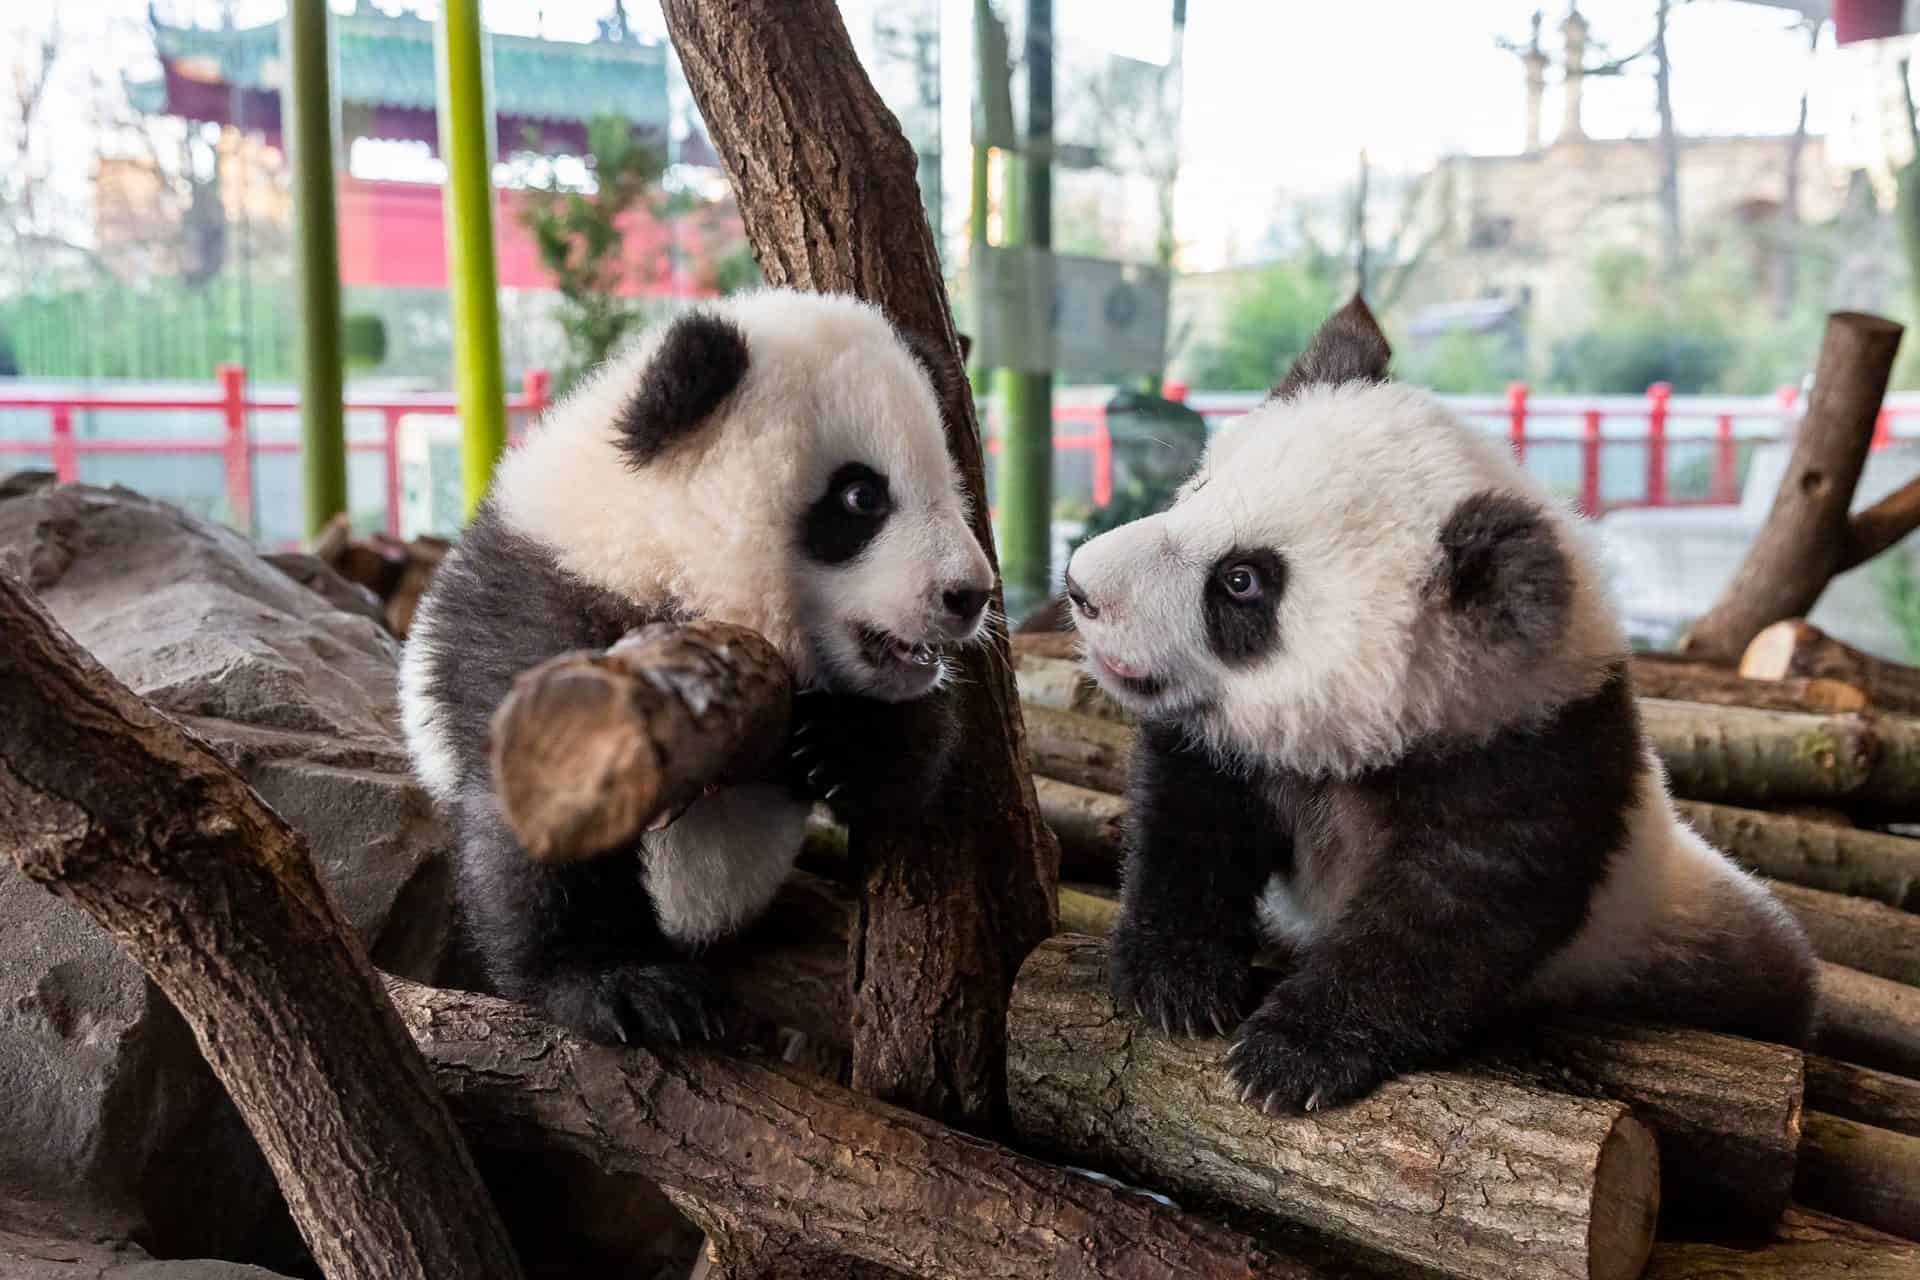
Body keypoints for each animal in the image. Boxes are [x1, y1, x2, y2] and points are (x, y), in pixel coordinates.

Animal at [399, 289, 995, 1046]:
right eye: (862, 497)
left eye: (950, 485)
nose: (969, 595)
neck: (648, 544)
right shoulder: (544, 613)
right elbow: (541, 799)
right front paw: (618, 985)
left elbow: (906, 753)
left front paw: (841, 745)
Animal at [1063, 297, 1817, 1114]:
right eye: (1199, 489)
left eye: (1242, 582)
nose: (1080, 586)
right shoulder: (1231, 747)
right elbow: (1188, 820)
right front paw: (1176, 981)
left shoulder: (1533, 764)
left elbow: (1444, 924)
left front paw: (1289, 1055)